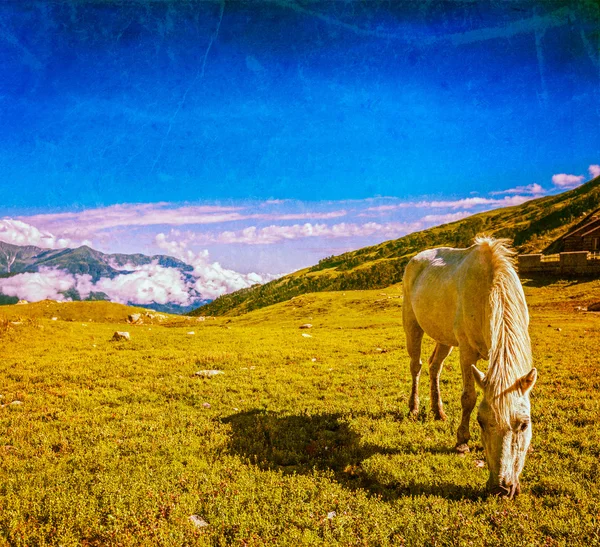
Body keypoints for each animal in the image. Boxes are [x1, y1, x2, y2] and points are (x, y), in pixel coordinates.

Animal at [406, 238, 536, 498]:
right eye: (481, 422)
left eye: (524, 424)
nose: (501, 488)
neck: (489, 290)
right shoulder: (467, 352)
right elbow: (468, 398)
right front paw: (462, 442)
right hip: (412, 324)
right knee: (417, 366)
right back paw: (414, 407)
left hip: (444, 338)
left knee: (435, 367)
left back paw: (438, 411)